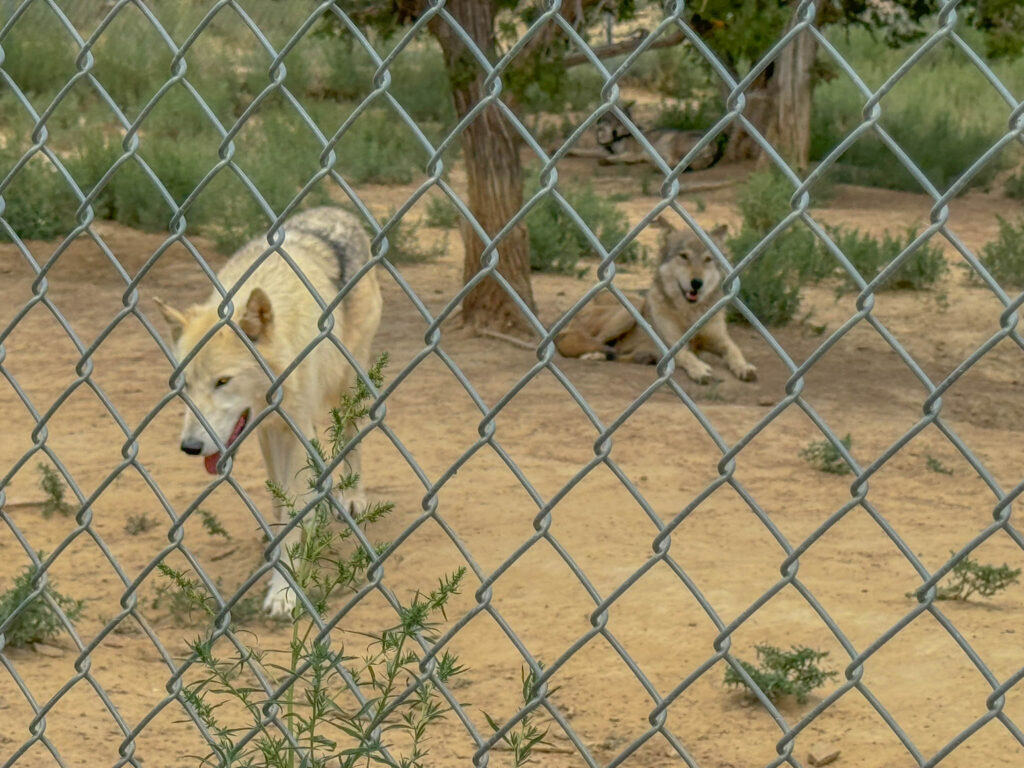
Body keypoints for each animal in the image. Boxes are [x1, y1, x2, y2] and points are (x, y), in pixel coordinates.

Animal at [155, 207, 385, 618]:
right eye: (185, 386)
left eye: (223, 381)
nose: (191, 447)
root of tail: (337, 211)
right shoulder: (267, 430)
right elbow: (281, 503)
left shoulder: (293, 429)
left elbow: (294, 506)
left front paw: (284, 591)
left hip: (348, 384)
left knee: (351, 434)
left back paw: (352, 495)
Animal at [557, 219, 757, 385]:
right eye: (684, 256)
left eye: (708, 259)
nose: (696, 283)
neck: (690, 314)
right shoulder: (671, 346)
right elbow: (687, 355)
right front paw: (700, 370)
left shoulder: (721, 340)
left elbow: (734, 350)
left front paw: (745, 367)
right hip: (629, 311)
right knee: (595, 343)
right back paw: (594, 356)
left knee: (618, 352)